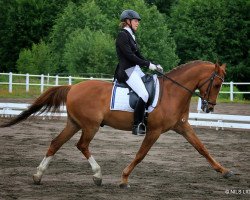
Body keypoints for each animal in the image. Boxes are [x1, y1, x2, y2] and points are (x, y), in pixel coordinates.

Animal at [0, 60, 233, 188]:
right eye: (217, 84)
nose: (209, 108)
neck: (173, 92)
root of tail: (73, 87)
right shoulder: (154, 131)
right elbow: (140, 155)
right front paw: (124, 179)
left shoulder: (182, 127)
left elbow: (202, 148)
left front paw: (224, 171)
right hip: (90, 126)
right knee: (81, 145)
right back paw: (97, 175)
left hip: (74, 123)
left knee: (56, 143)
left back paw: (38, 175)